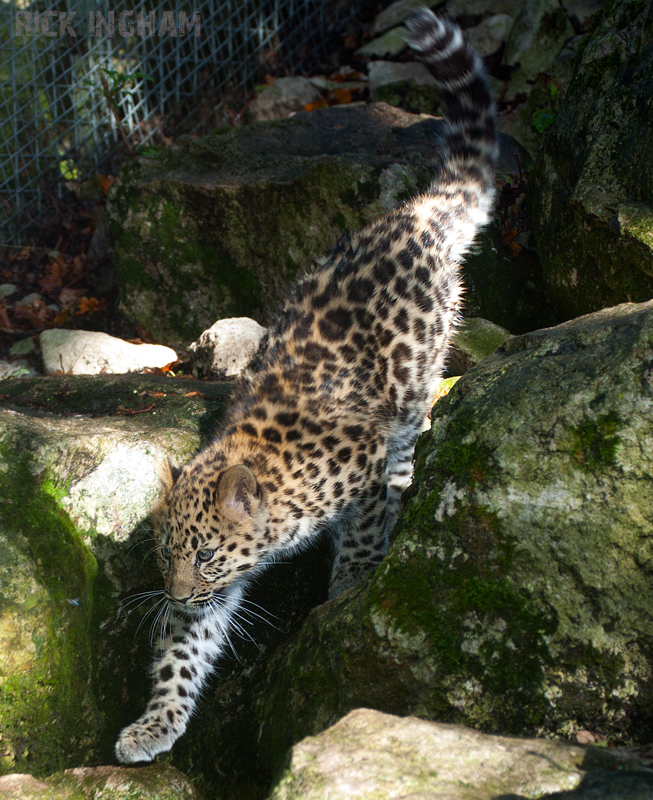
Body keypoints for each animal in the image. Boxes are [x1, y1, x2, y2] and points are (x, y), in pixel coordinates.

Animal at [114, 9, 496, 764]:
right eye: (167, 553)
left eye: (205, 555)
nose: (175, 595)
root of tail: (411, 214)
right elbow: (183, 655)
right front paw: (155, 723)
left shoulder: (360, 471)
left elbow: (364, 533)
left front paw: (348, 588)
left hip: (419, 360)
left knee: (413, 418)